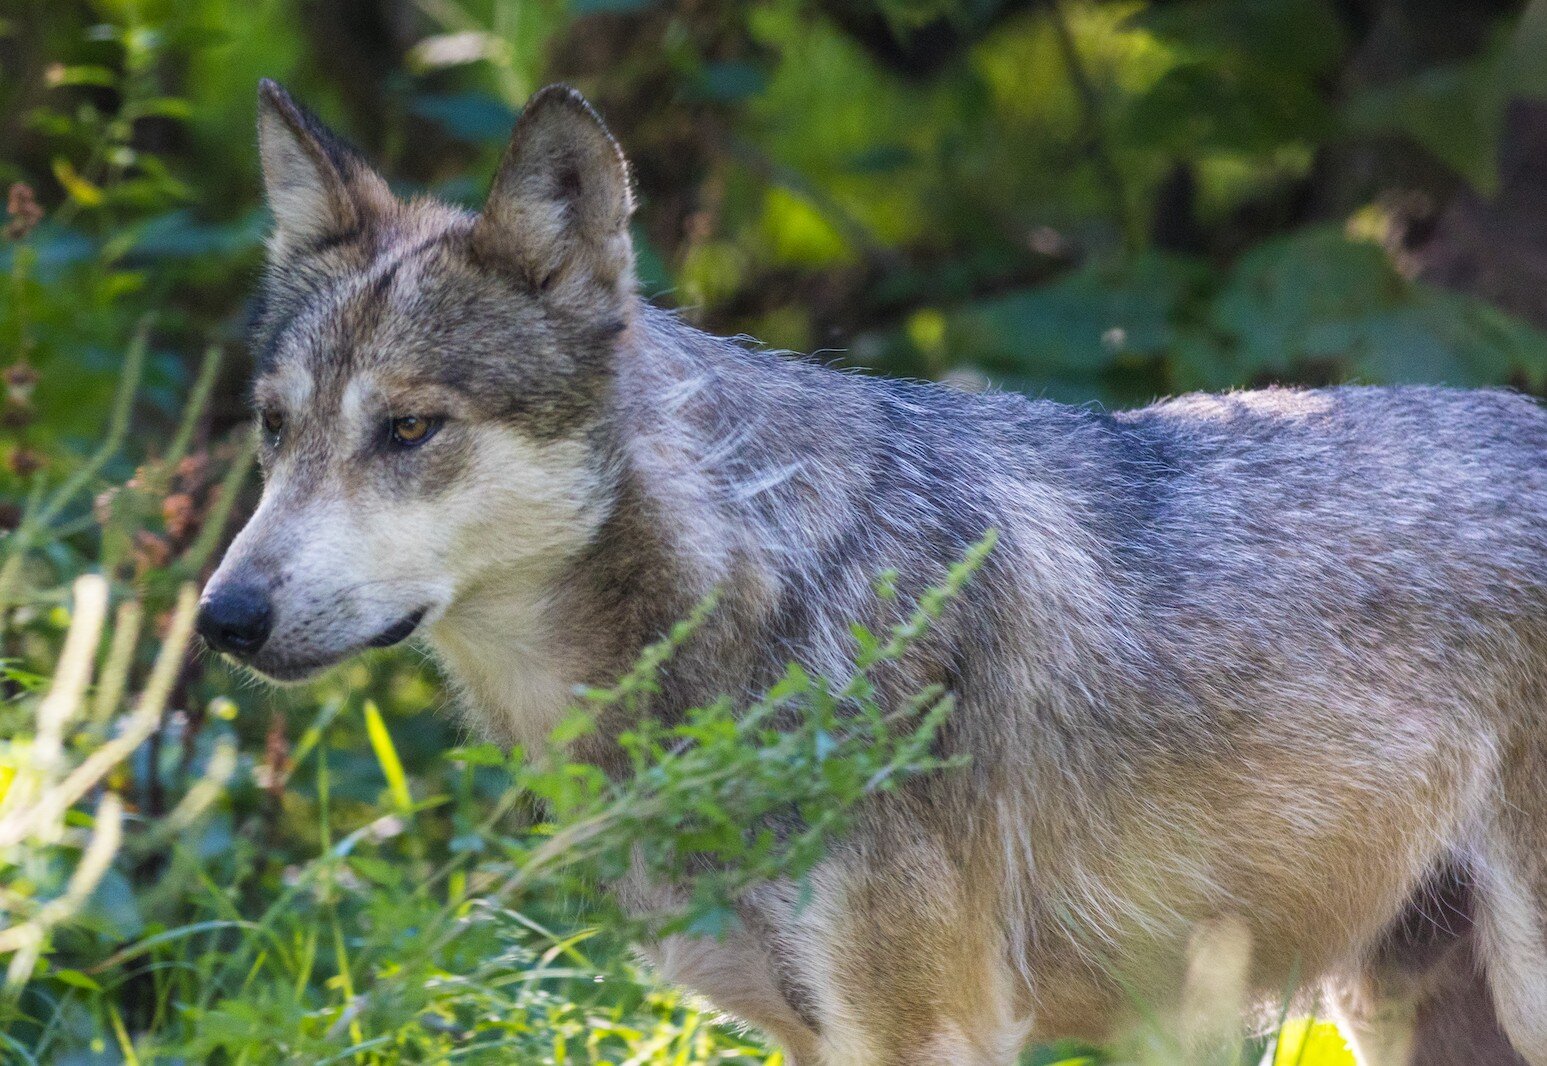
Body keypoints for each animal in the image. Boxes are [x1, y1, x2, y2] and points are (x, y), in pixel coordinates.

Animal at [196, 78, 1547, 1058]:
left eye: (409, 429)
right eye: (273, 427)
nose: (223, 618)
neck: (755, 602)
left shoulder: (921, 1026)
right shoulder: (804, 1032)